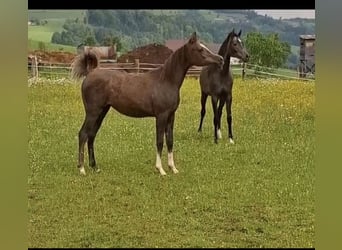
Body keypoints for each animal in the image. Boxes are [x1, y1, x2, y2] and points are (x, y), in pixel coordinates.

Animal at [71, 31, 224, 176]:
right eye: (200, 49)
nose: (220, 59)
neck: (166, 80)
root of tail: (90, 73)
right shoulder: (161, 116)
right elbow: (160, 141)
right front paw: (160, 169)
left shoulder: (171, 116)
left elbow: (170, 141)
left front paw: (173, 168)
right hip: (93, 112)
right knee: (83, 134)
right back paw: (82, 169)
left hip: (102, 111)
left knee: (91, 135)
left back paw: (94, 167)